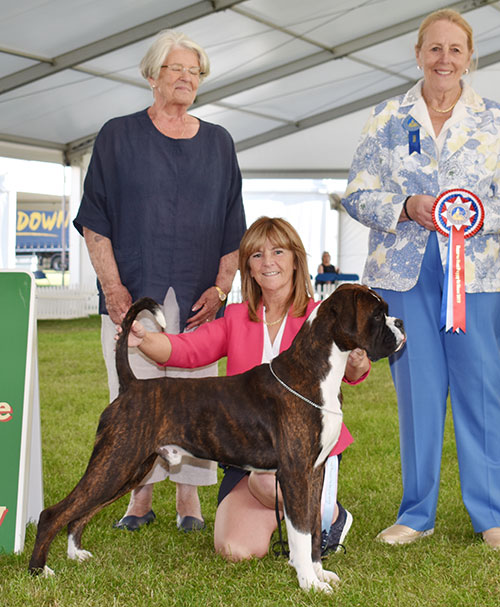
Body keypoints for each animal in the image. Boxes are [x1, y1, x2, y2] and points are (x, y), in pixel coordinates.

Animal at [28, 284, 406, 592]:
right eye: (377, 314)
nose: (400, 323)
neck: (313, 372)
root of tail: (132, 385)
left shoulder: (315, 473)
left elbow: (312, 528)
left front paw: (317, 572)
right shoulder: (296, 474)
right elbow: (300, 532)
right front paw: (309, 584)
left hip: (127, 468)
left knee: (80, 512)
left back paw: (76, 554)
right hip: (115, 462)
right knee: (55, 512)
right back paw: (39, 571)